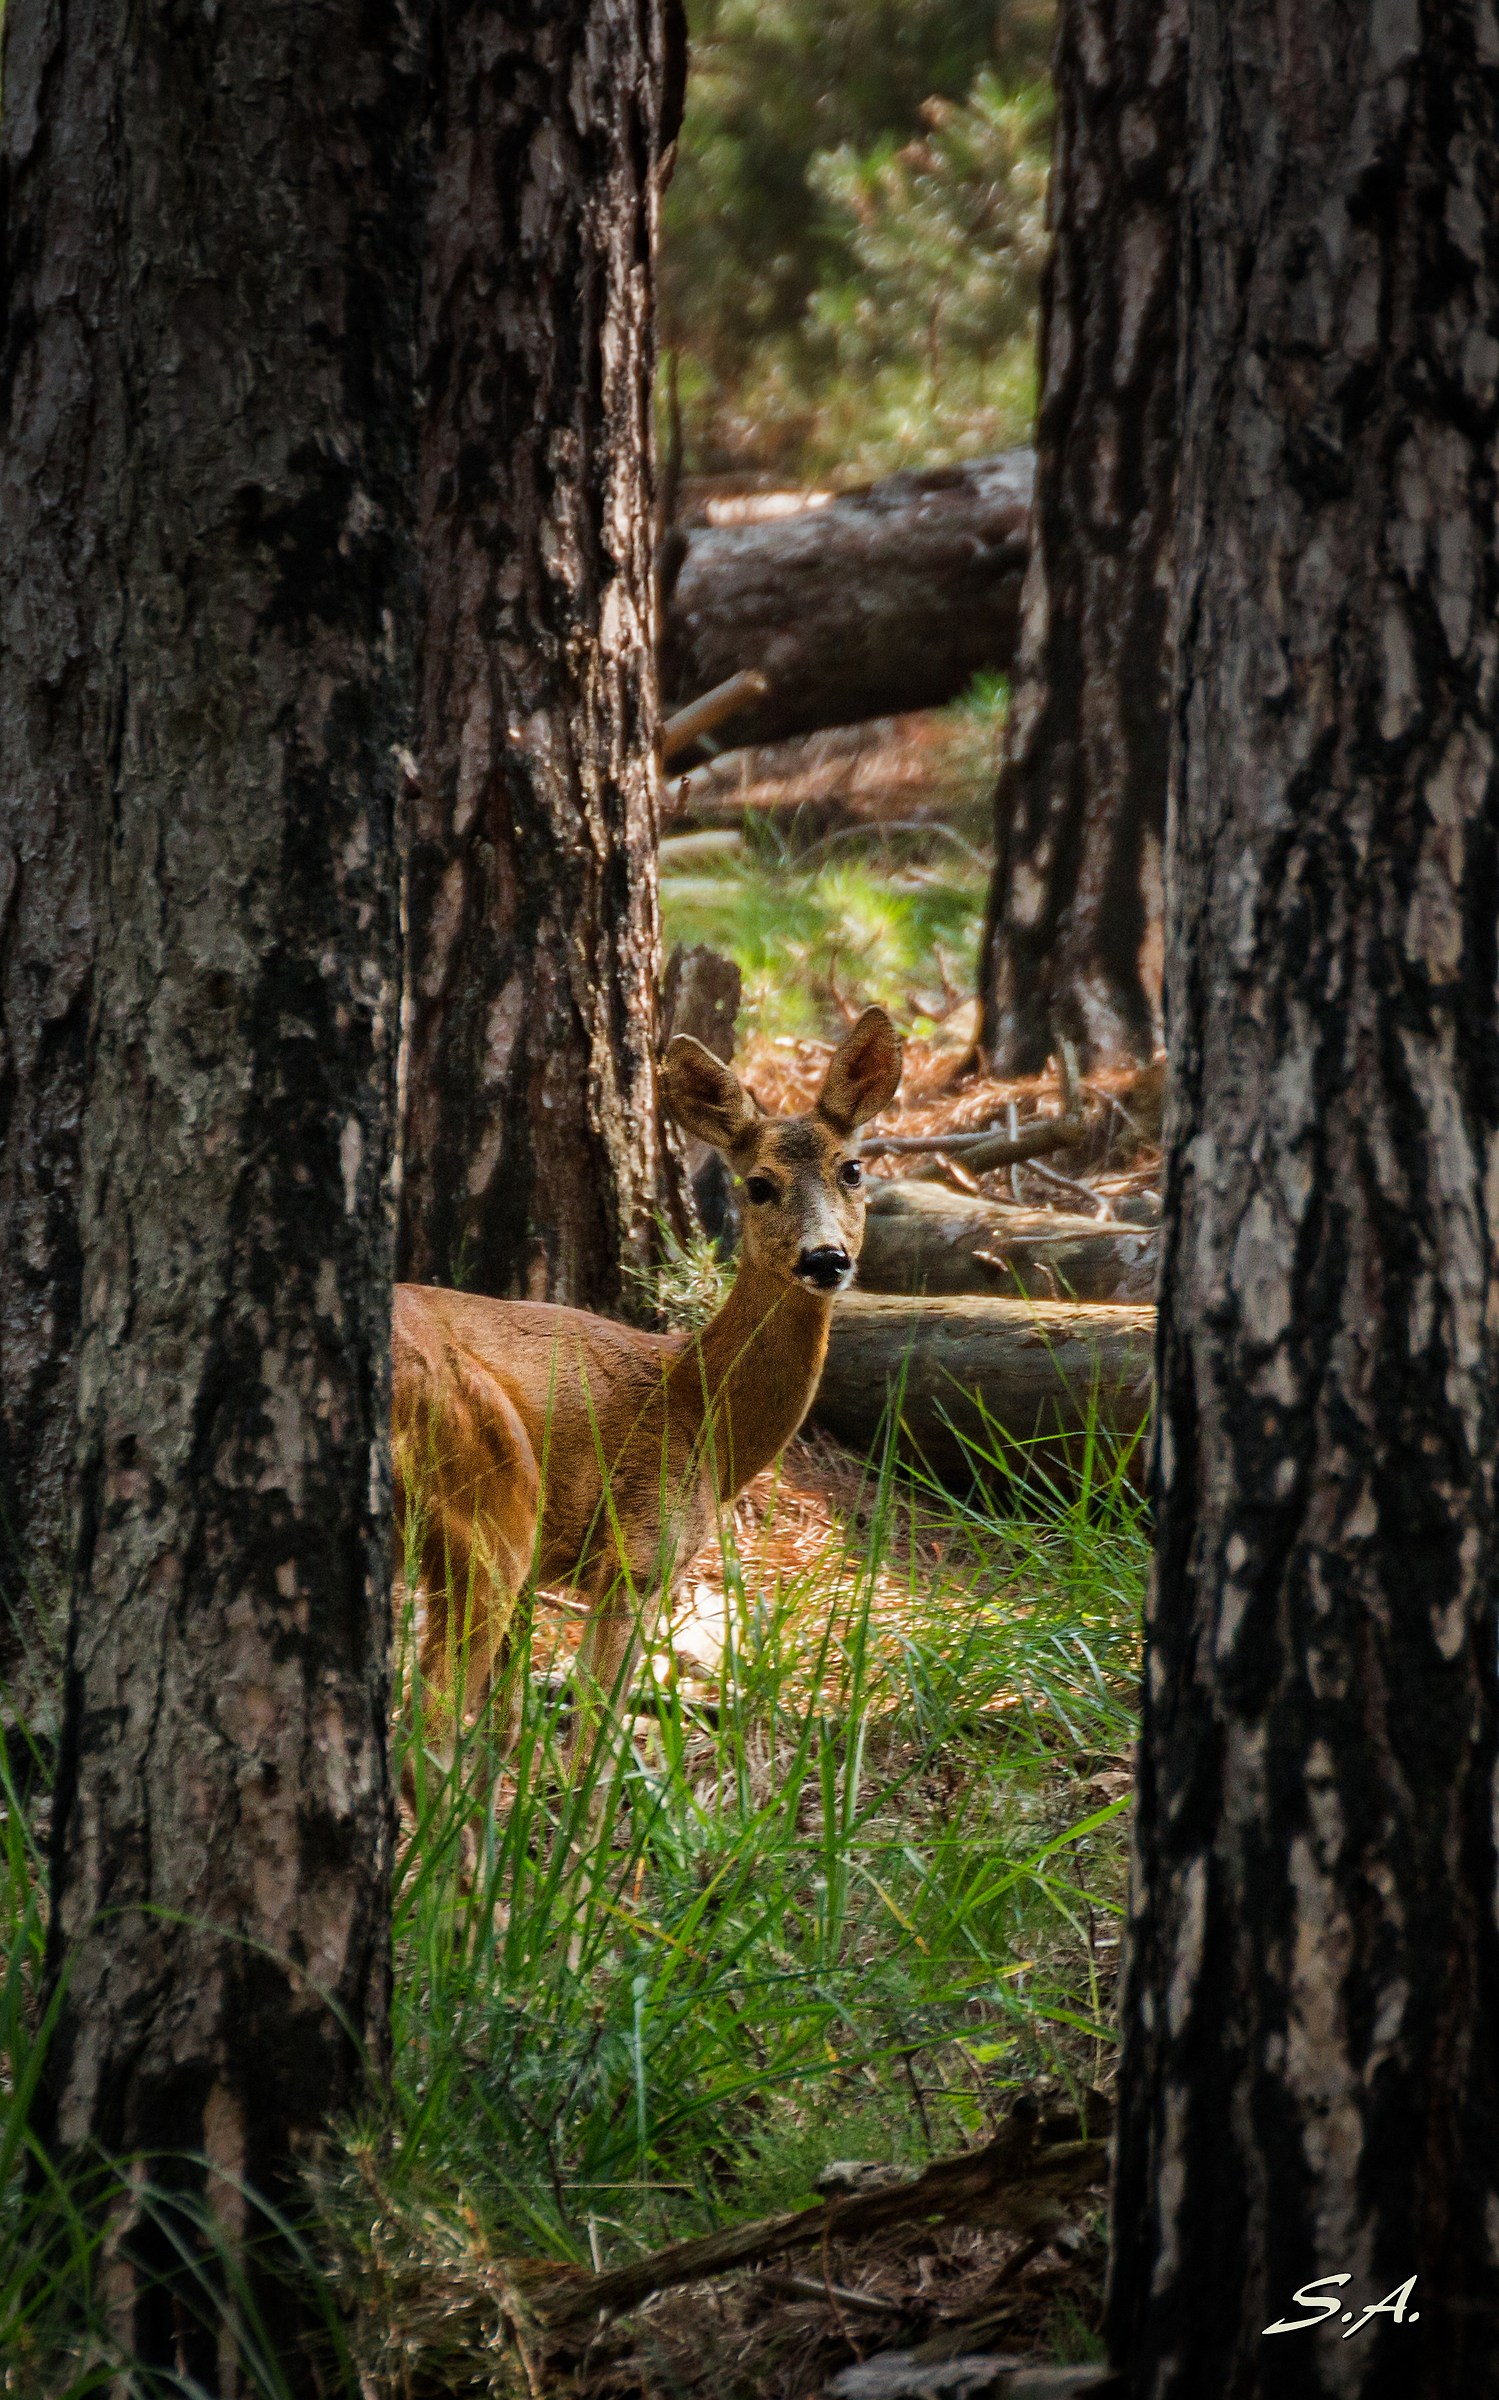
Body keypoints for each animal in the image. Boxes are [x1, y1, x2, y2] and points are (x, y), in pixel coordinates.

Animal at [390, 1006, 902, 1776]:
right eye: (758, 1184)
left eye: (851, 1169)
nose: (824, 1258)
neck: (701, 1405)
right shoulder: (637, 1554)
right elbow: (590, 1742)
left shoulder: (547, 1577)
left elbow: (505, 1735)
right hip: (486, 1508)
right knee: (428, 1730)